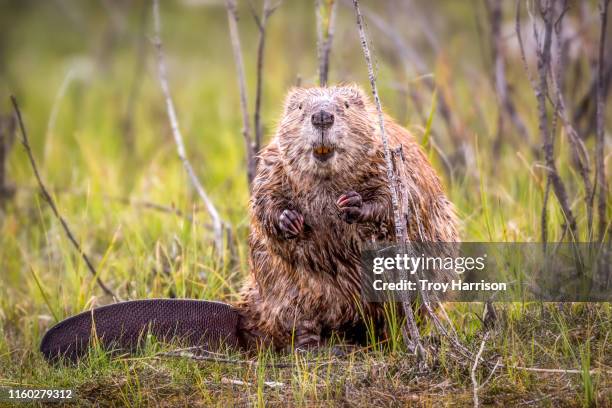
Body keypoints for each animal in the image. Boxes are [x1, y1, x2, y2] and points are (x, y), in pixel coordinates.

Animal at [237, 83, 456, 350]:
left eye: (346, 105)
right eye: (300, 107)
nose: (322, 116)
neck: (326, 180)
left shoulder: (388, 158)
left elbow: (398, 199)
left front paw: (352, 204)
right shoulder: (273, 162)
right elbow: (264, 199)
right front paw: (289, 220)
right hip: (284, 291)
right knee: (297, 318)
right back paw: (310, 346)